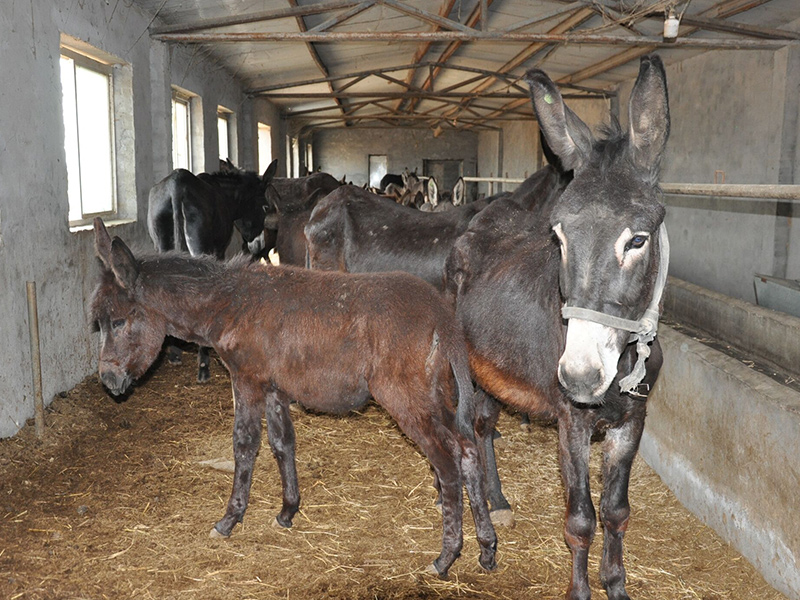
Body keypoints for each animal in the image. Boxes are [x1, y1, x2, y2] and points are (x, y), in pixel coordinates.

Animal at [92, 219, 494, 576]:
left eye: (118, 322)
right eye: (100, 323)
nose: (108, 381)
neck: (227, 304)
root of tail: (443, 316)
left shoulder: (247, 380)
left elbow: (244, 445)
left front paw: (229, 519)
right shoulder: (274, 388)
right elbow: (282, 443)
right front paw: (288, 511)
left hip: (406, 399)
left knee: (447, 463)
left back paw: (445, 558)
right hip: (436, 396)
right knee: (468, 449)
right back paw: (486, 550)